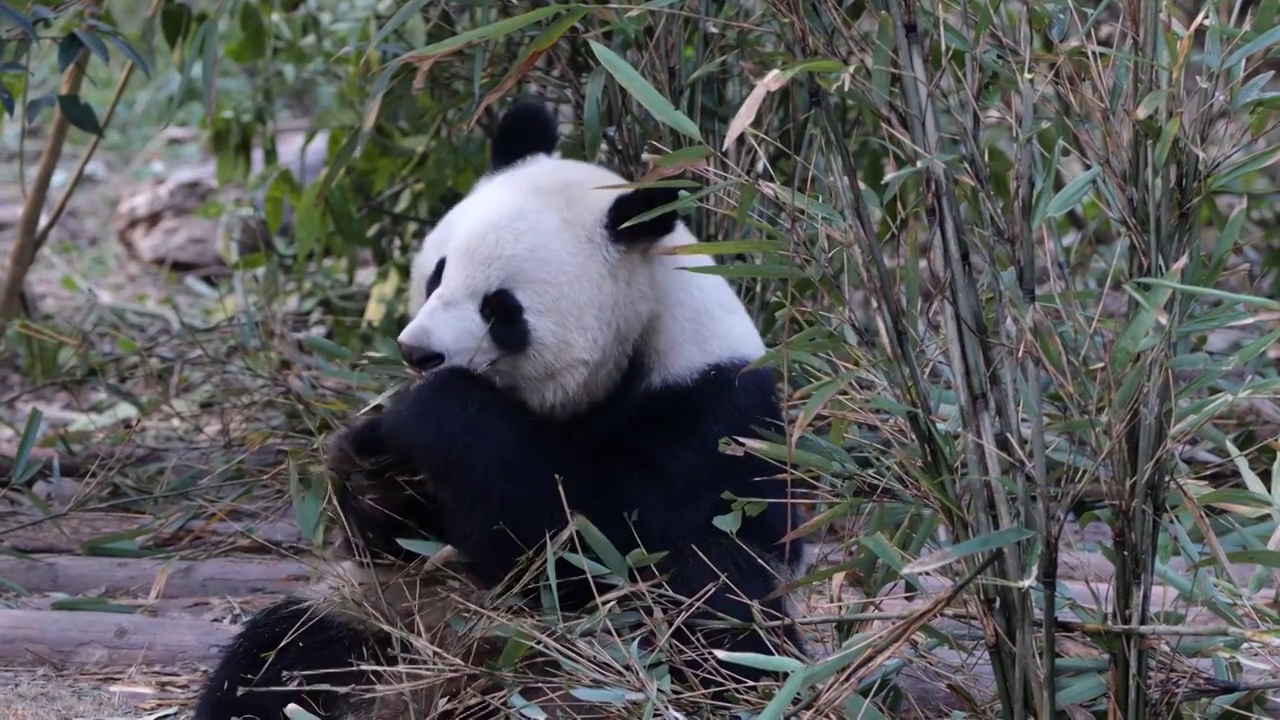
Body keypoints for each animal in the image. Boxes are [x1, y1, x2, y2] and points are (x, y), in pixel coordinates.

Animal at [189, 96, 808, 717]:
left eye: (501, 308)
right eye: (438, 273)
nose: (417, 353)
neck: (643, 331)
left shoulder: (707, 416)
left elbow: (581, 536)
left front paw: (427, 414)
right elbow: (414, 538)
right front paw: (368, 467)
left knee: (717, 608)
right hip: (379, 617)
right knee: (280, 659)